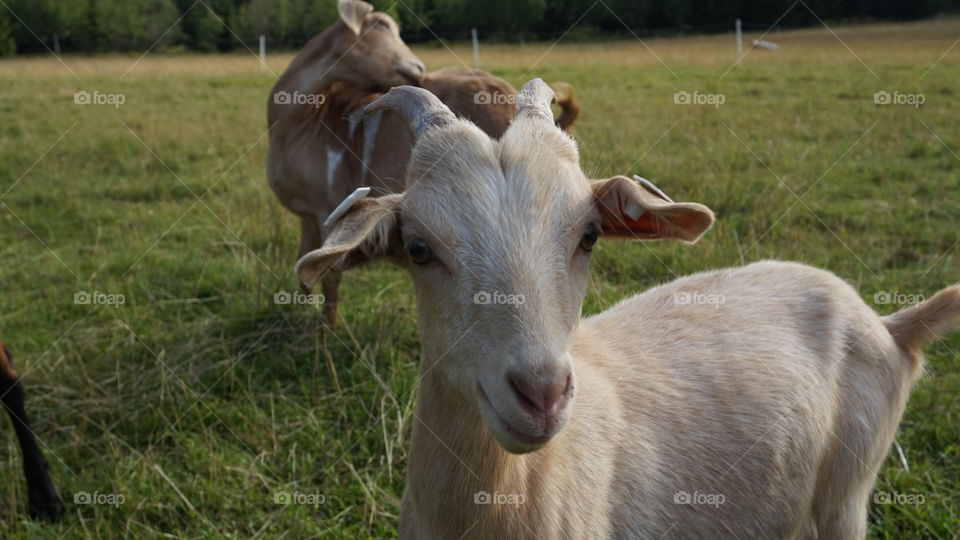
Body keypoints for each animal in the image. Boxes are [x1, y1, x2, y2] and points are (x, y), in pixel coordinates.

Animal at [267, 0, 579, 325]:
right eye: (380, 25)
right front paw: (305, 308)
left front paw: (327, 327)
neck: (304, 122)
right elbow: (304, 257)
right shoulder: (308, 215)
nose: (419, 69)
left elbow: (329, 274)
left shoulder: (329, 205)